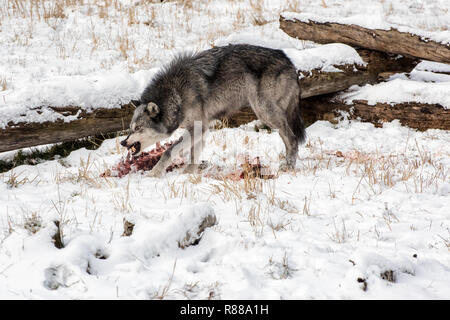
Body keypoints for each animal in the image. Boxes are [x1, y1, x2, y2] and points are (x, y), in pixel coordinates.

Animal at [120, 43, 306, 176]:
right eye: (130, 128)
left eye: (138, 128)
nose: (123, 142)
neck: (176, 94)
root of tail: (288, 60)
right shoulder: (200, 129)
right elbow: (193, 156)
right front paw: (188, 175)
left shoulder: (198, 128)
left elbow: (168, 151)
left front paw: (155, 173)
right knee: (288, 138)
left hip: (265, 112)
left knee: (293, 138)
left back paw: (288, 167)